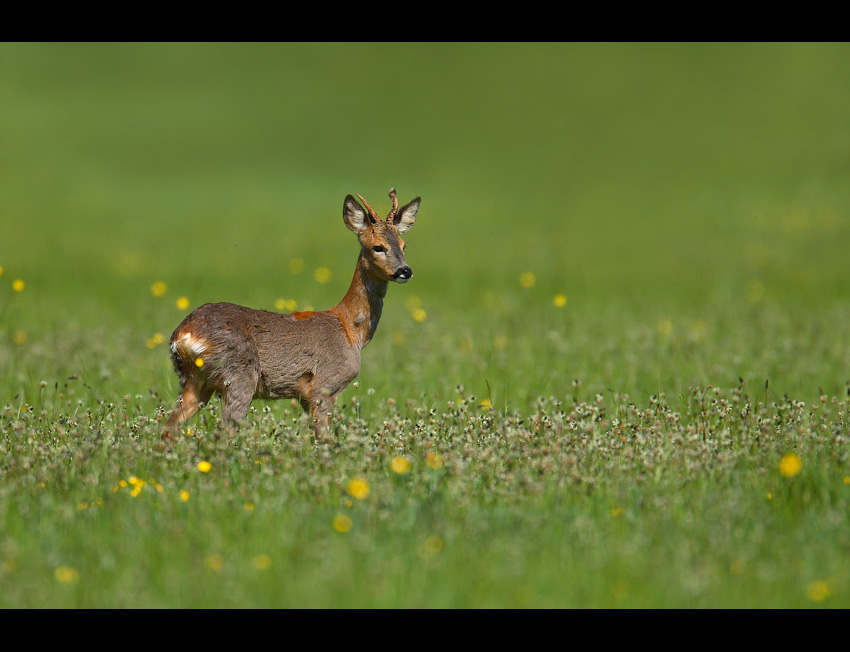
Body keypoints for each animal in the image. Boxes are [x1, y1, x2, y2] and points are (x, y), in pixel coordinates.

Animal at [161, 190, 420, 444]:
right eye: (378, 247)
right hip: (238, 375)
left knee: (169, 427)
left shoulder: (305, 396)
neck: (350, 330)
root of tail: (184, 335)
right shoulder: (324, 385)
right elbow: (323, 438)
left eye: (404, 245)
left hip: (195, 381)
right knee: (224, 431)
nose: (405, 271)